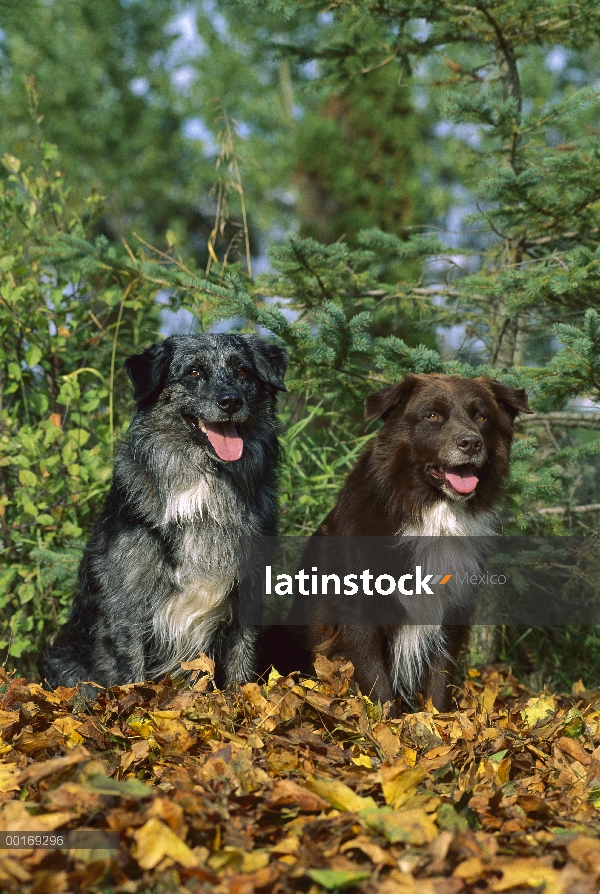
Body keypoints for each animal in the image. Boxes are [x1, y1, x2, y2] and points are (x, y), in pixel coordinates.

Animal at [38, 336, 288, 692]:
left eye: (243, 371)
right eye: (194, 371)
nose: (230, 401)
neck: (206, 483)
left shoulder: (248, 595)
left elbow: (241, 666)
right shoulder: (126, 607)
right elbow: (130, 676)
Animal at [302, 372, 532, 712]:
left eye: (481, 417)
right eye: (432, 416)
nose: (471, 443)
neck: (428, 511)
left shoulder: (452, 608)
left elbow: (440, 677)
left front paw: (437, 720)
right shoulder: (357, 608)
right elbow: (375, 678)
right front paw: (387, 723)